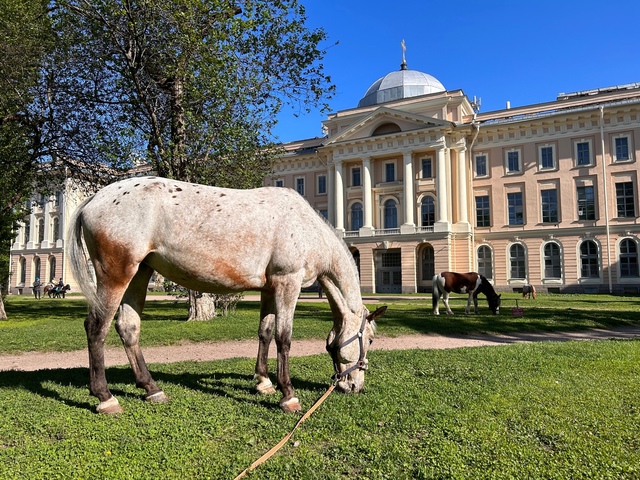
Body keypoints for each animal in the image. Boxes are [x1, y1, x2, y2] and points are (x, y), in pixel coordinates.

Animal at [66, 175, 384, 412]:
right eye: (369, 339)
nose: (354, 386)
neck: (306, 228)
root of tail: (95, 199)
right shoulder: (287, 284)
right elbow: (283, 338)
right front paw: (288, 395)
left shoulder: (269, 289)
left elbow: (265, 332)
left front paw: (263, 383)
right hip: (116, 275)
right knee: (96, 327)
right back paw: (105, 397)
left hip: (140, 273)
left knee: (128, 327)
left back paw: (151, 389)